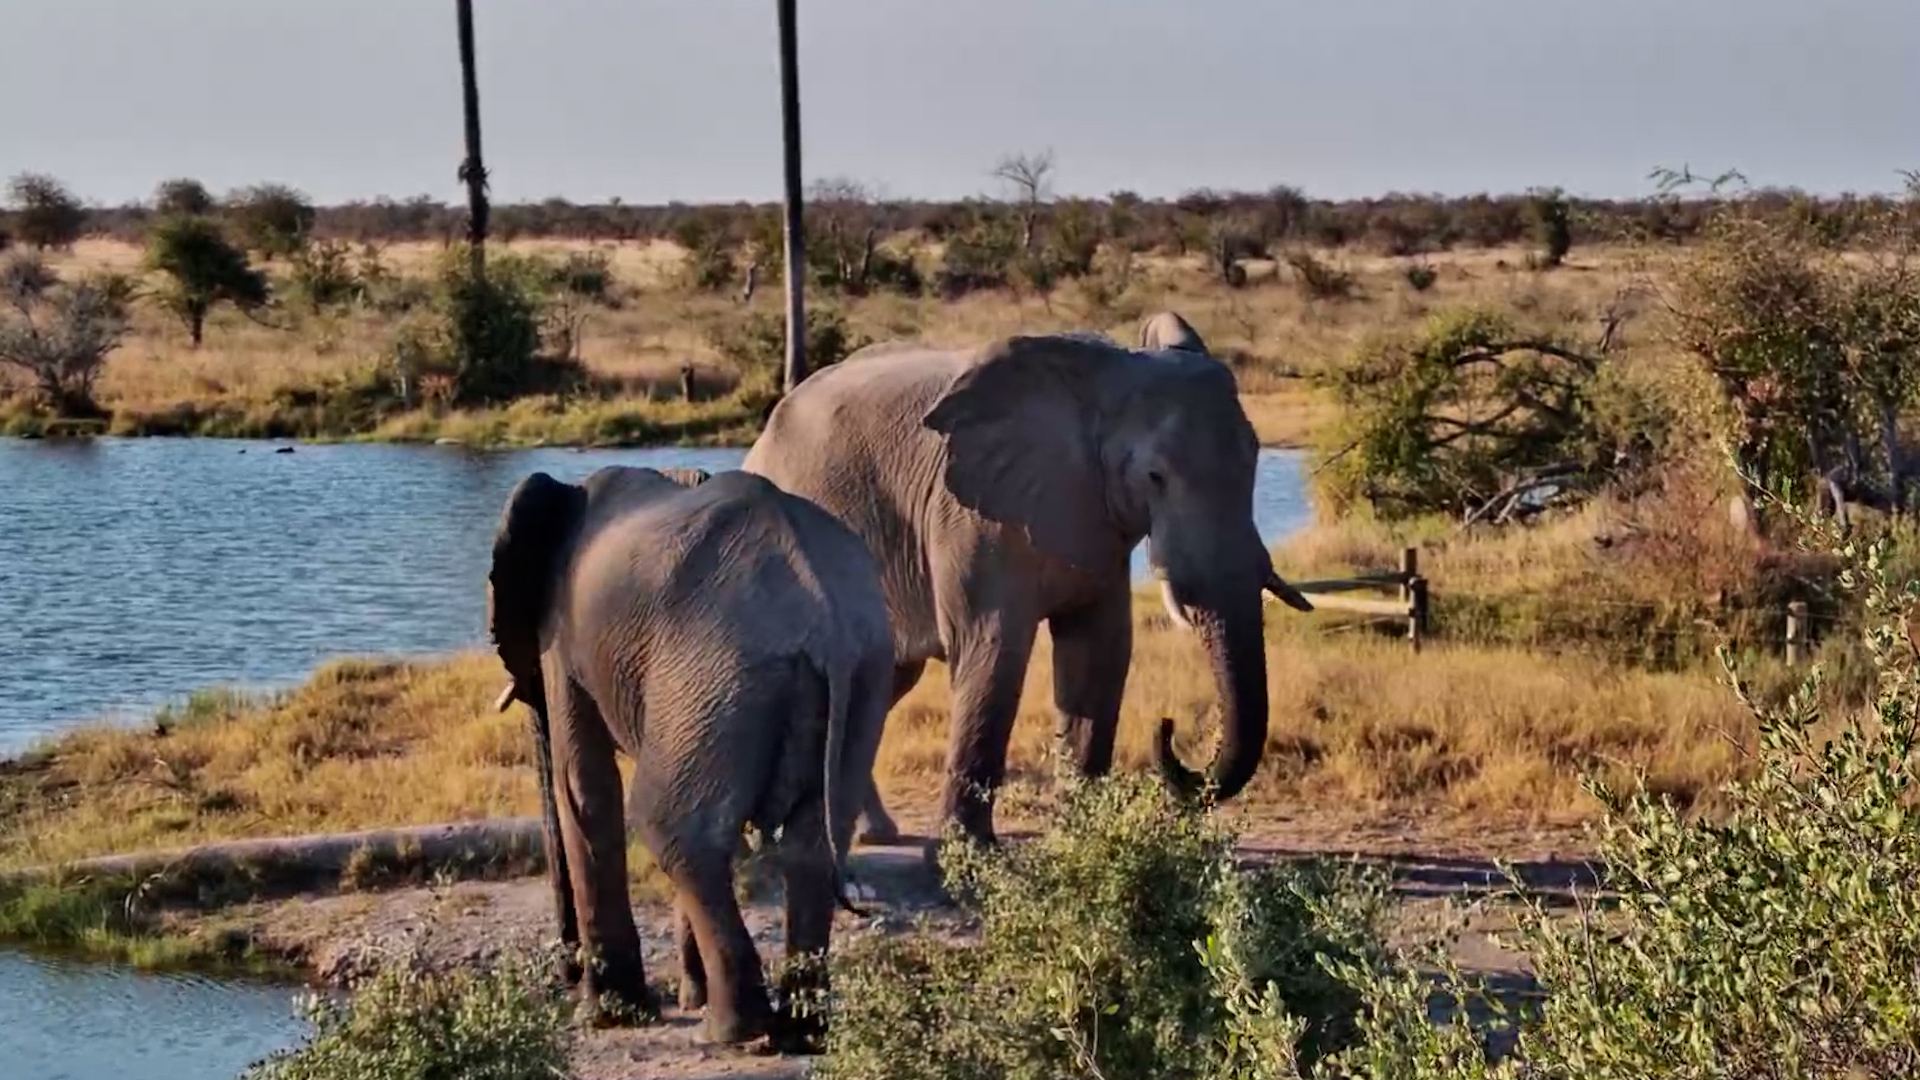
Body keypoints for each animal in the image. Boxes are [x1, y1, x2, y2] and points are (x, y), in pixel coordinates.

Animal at [487, 464, 896, 1046]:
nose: (564, 974)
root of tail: (825, 621)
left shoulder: (562, 639)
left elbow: (584, 789)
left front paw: (608, 1017)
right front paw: (682, 997)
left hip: (717, 672)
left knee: (672, 828)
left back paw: (729, 1029)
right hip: (860, 674)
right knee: (808, 845)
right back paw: (800, 1033)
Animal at [741, 313, 1313, 855]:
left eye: (1255, 461)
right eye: (1155, 477)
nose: (1167, 727)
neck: (1103, 378)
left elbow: (1097, 655)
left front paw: (1081, 840)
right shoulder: (970, 517)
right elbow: (995, 652)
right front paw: (967, 858)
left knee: (880, 684)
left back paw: (871, 831)